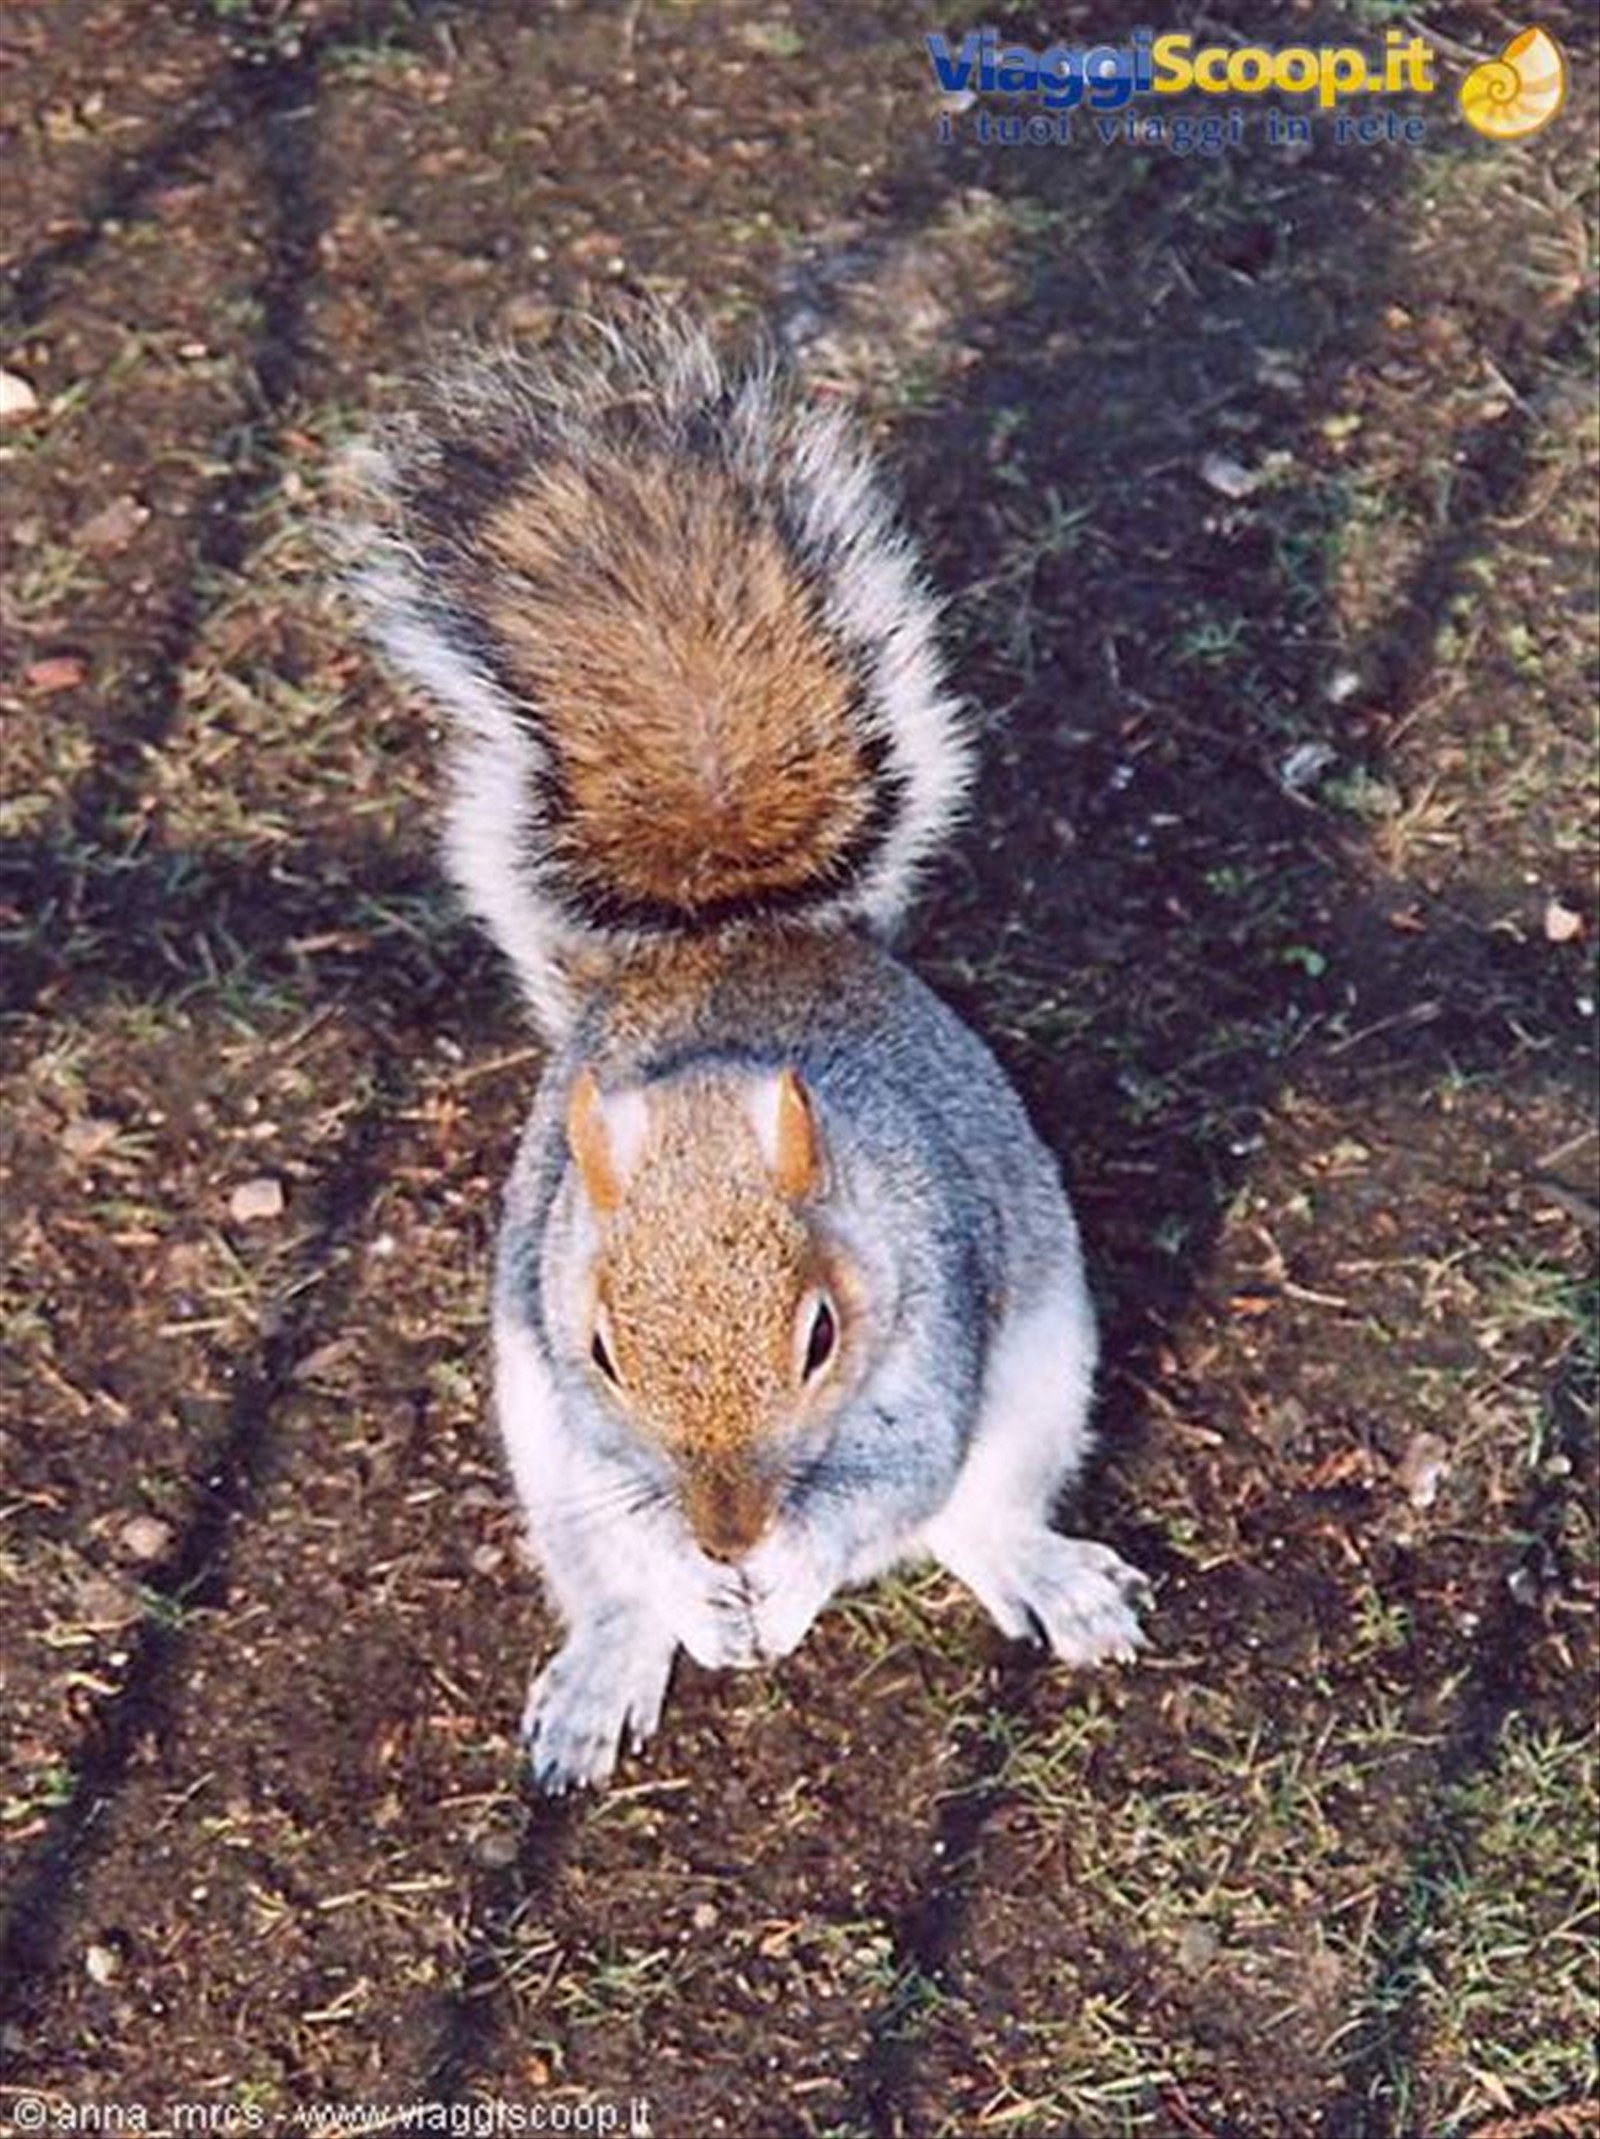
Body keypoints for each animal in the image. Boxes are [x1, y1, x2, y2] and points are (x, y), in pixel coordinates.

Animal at [345, 309, 1149, 1793]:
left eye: (820, 1333)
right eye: (602, 1345)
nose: (728, 1534)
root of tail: (722, 933)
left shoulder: (932, 1319)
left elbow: (889, 1487)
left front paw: (791, 1573)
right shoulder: (575, 1395)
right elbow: (648, 1532)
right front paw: (699, 1591)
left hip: (1037, 1381)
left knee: (968, 1515)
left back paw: (1039, 1573)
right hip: (549, 1463)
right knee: (606, 1575)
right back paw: (616, 1658)